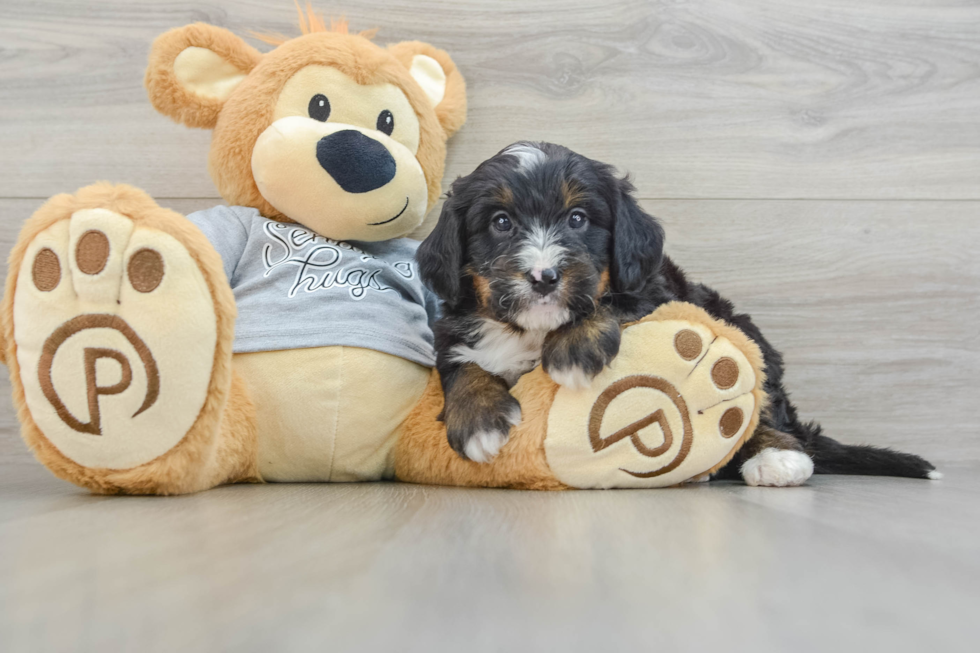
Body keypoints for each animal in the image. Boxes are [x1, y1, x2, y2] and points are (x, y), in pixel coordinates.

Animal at [418, 144, 936, 488]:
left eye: (578, 219)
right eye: (501, 223)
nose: (544, 277)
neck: (530, 330)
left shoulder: (652, 291)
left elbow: (608, 298)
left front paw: (573, 346)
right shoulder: (452, 328)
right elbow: (461, 364)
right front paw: (480, 419)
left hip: (747, 335)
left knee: (770, 411)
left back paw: (776, 458)